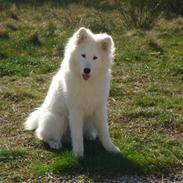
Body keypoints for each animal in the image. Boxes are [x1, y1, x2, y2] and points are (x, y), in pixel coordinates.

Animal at [25, 27, 121, 156]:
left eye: (95, 57)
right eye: (83, 55)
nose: (87, 70)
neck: (87, 84)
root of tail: (40, 115)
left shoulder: (100, 108)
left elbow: (104, 132)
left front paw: (111, 148)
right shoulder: (75, 111)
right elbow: (77, 135)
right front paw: (78, 154)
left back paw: (90, 135)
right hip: (57, 119)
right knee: (43, 135)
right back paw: (55, 144)